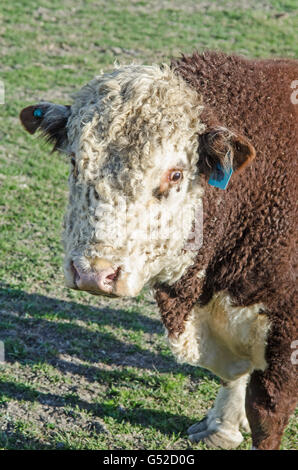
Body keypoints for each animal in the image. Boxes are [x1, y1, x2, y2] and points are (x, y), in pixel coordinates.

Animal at [19, 50, 296, 448]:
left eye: (176, 174)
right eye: (74, 161)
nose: (93, 273)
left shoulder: (285, 339)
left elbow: (267, 416)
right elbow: (234, 377)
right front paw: (222, 426)